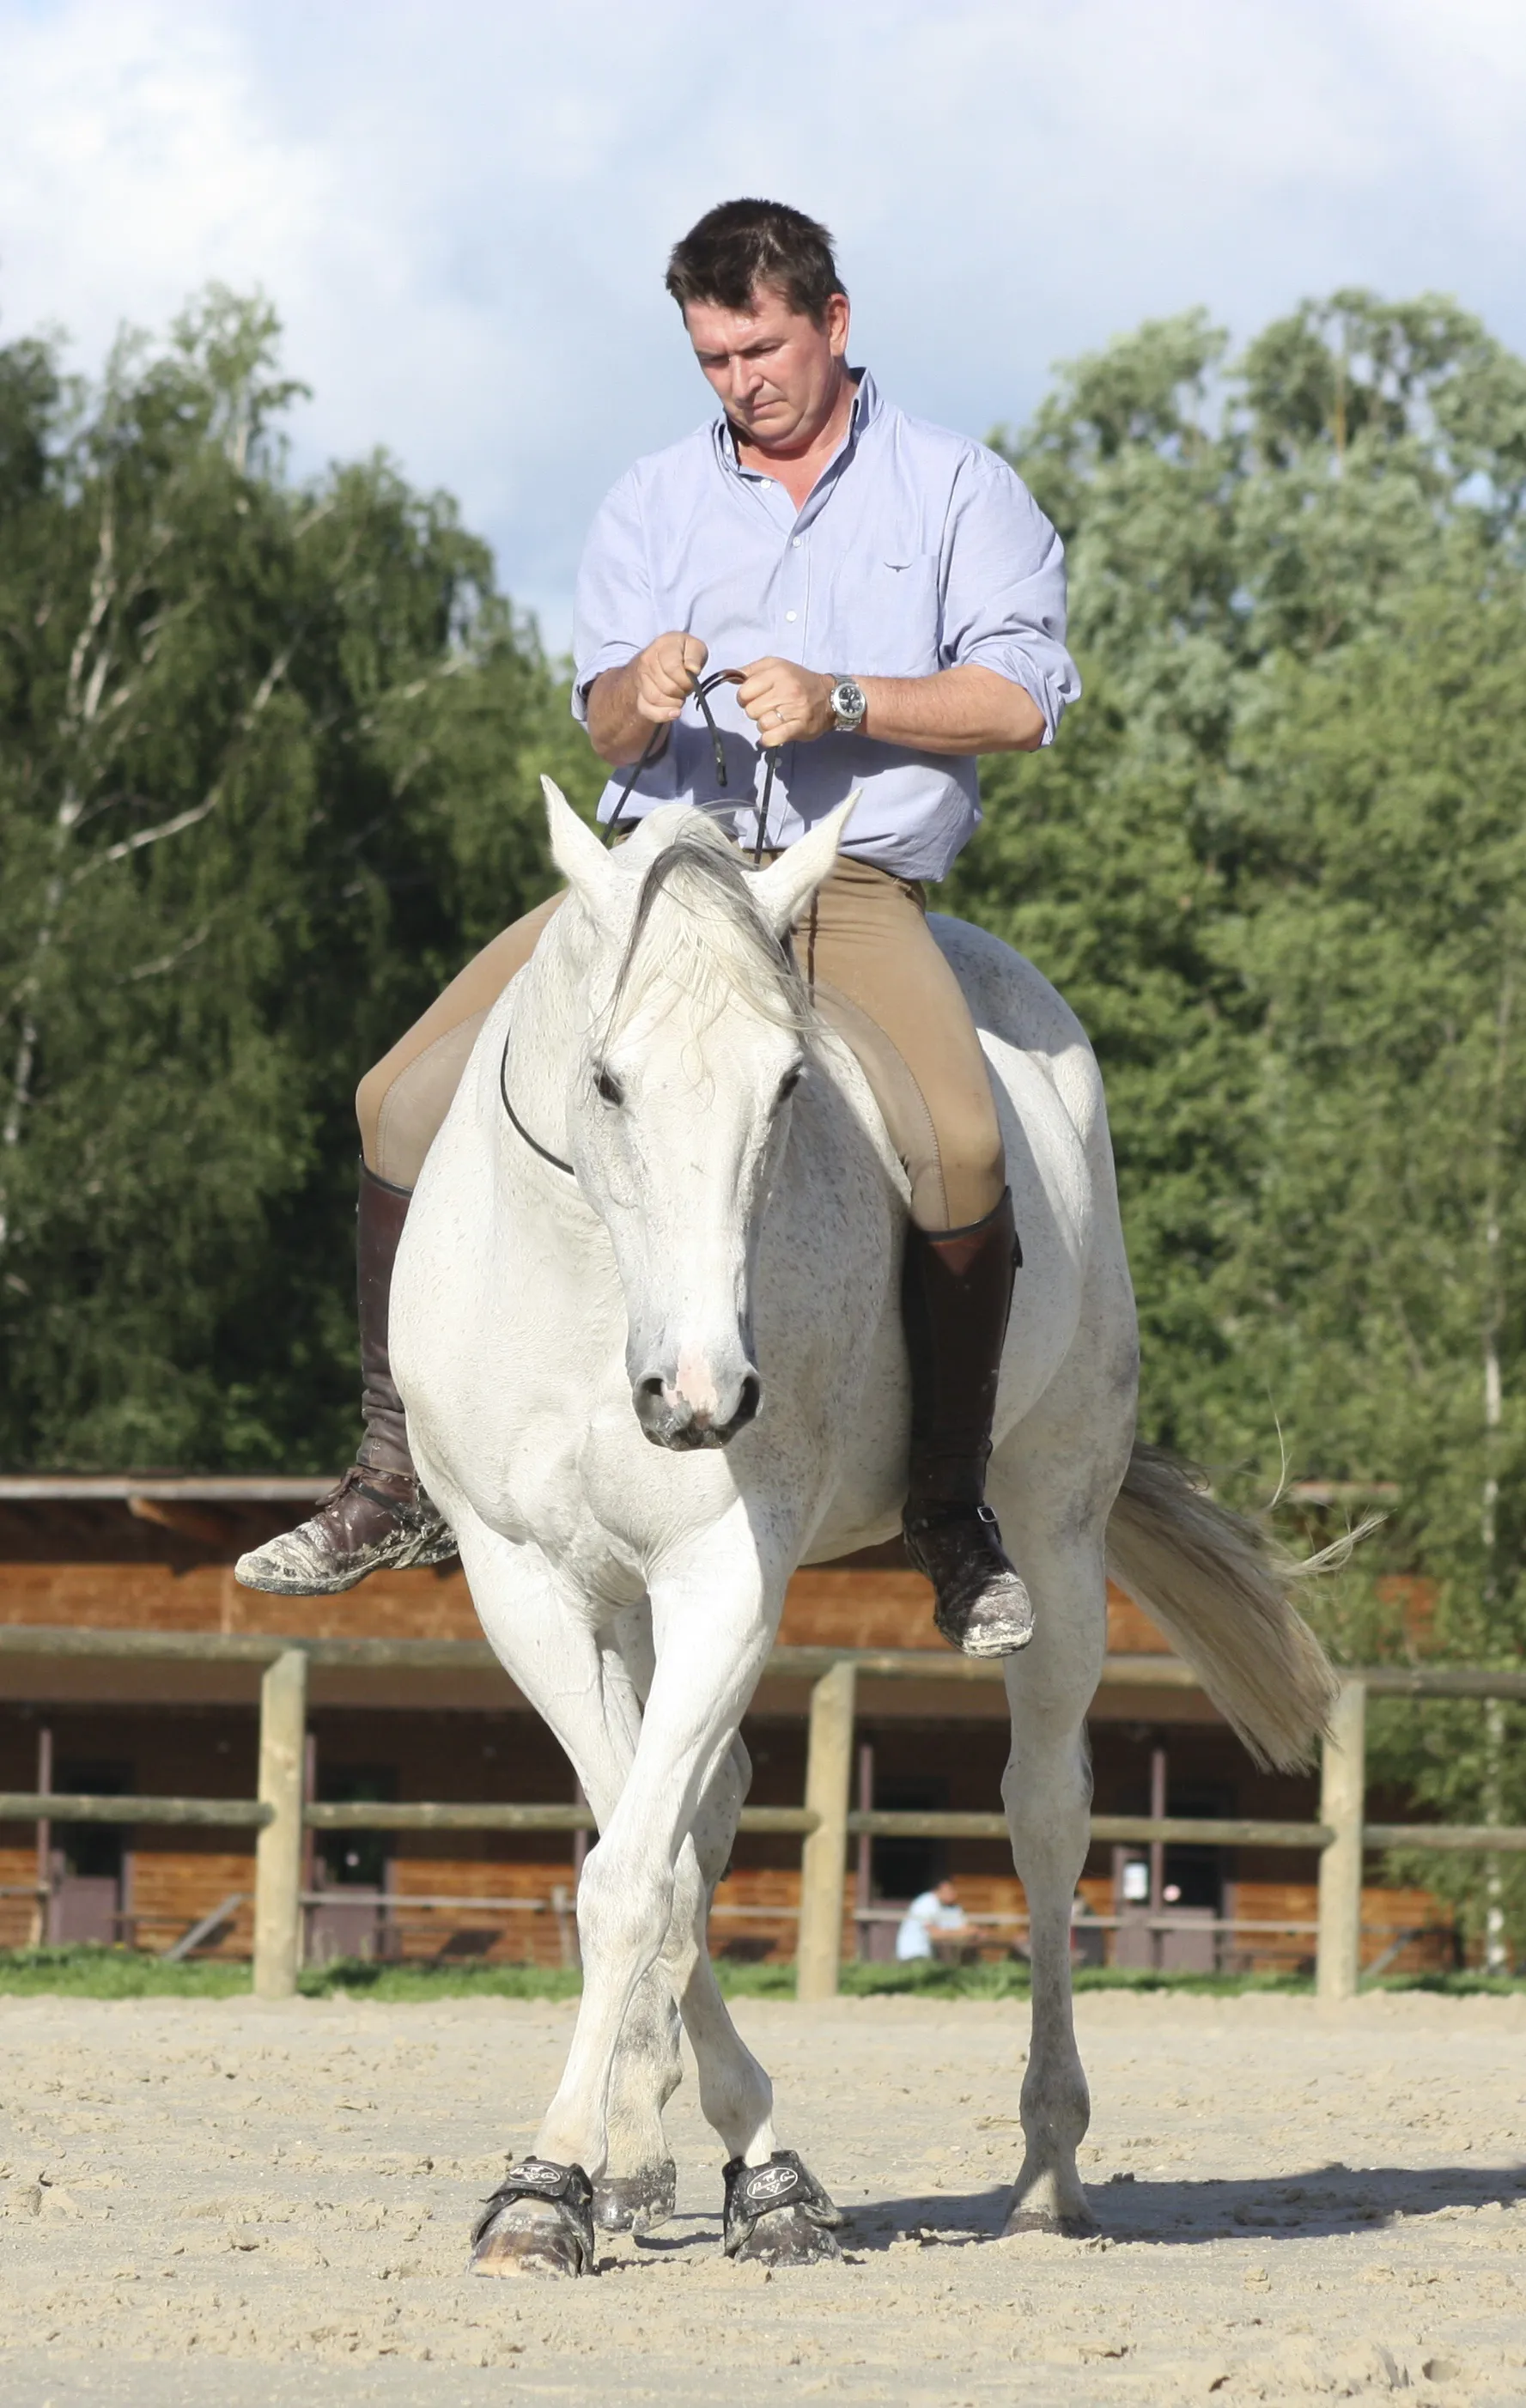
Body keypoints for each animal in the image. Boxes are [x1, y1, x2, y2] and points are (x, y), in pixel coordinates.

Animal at [390, 783, 1336, 2276]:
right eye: (605, 1082)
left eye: (788, 1085)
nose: (700, 1396)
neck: (592, 1278)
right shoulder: (528, 1583)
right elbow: (648, 1855)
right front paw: (626, 2173)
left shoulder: (726, 1575)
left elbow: (632, 1879)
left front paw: (618, 2185)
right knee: (706, 1813)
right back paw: (649, 2156)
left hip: (1057, 1527)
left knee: (1045, 1819)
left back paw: (1045, 2176)